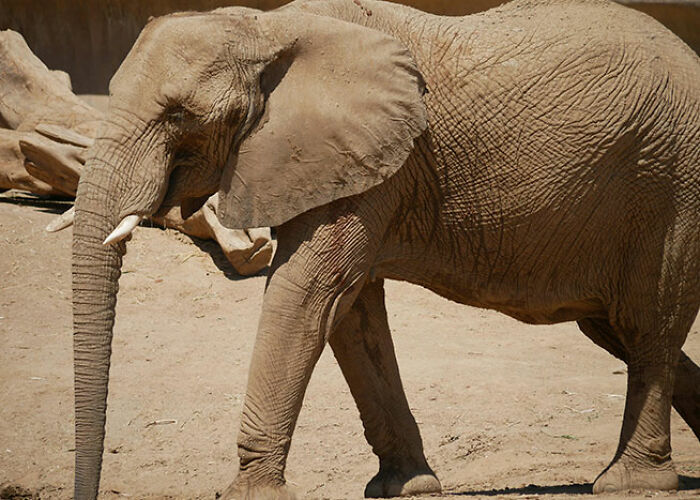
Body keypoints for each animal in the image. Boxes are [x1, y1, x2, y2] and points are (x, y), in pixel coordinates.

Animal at [70, 0, 700, 498]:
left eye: (179, 115)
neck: (265, 26)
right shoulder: (349, 162)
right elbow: (351, 311)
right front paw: (408, 487)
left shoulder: (364, 162)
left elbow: (308, 292)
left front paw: (250, 494)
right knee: (613, 329)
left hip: (671, 187)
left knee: (649, 326)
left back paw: (632, 483)